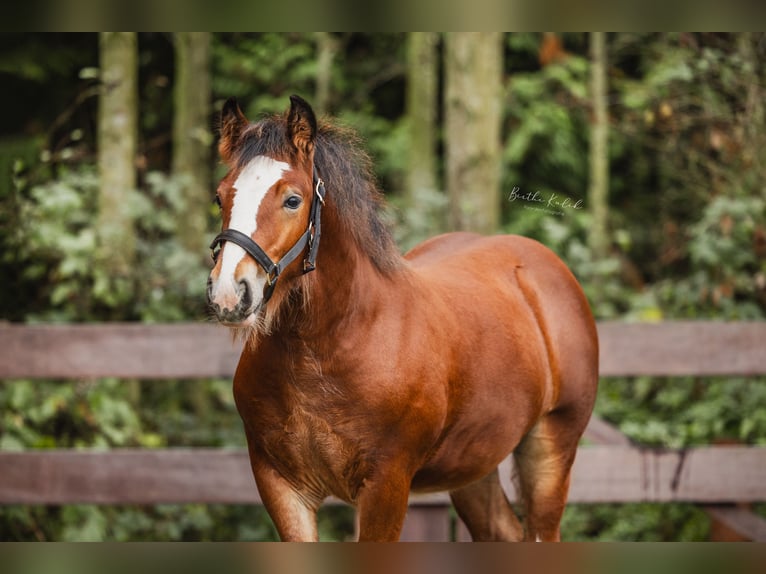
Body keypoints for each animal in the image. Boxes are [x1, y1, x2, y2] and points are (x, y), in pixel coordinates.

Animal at [208, 95, 600, 544]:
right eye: (220, 197)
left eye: (292, 199)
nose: (229, 293)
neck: (326, 349)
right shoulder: (280, 484)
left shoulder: (386, 484)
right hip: (472, 464)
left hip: (551, 451)